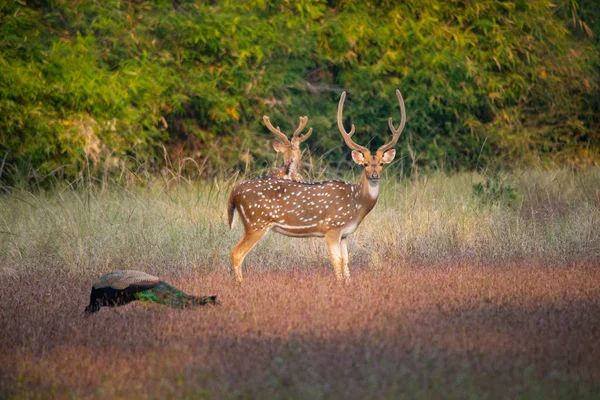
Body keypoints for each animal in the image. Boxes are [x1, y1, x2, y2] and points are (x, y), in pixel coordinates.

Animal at [227, 90, 406, 282]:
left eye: (381, 163)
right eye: (364, 164)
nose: (374, 175)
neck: (356, 203)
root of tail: (234, 191)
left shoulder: (345, 234)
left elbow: (346, 261)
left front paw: (348, 283)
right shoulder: (332, 227)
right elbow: (336, 261)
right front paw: (339, 284)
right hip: (256, 222)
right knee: (236, 253)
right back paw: (240, 284)